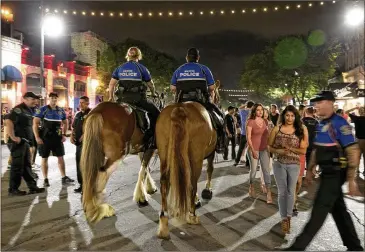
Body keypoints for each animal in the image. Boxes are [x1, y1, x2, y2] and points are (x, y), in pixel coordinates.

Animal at [156, 81, 220, 240]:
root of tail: (180, 108)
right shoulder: (209, 153)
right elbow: (209, 169)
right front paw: (206, 191)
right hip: (196, 156)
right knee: (192, 181)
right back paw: (192, 215)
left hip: (164, 153)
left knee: (165, 181)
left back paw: (163, 219)